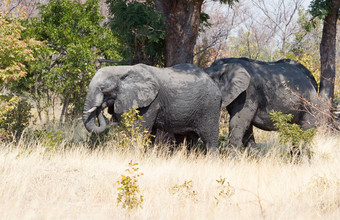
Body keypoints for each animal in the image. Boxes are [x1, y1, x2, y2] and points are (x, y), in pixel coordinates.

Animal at [82, 62, 220, 151]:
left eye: (104, 89)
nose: (100, 107)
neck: (123, 70)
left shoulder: (152, 102)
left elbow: (141, 130)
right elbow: (149, 133)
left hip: (210, 107)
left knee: (210, 139)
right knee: (186, 139)